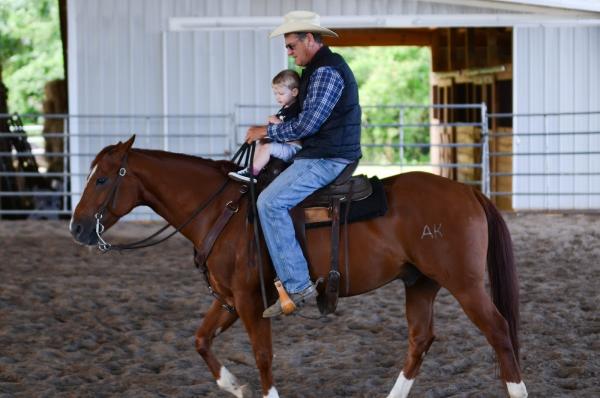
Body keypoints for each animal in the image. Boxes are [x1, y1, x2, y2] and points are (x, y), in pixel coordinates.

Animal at [70, 135, 528, 396]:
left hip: (465, 284)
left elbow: (263, 357)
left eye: (102, 179)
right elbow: (200, 341)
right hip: (419, 283)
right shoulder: (230, 300)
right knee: (420, 341)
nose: (77, 228)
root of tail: (468, 192)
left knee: (499, 332)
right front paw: (234, 387)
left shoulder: (251, 303)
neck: (222, 210)